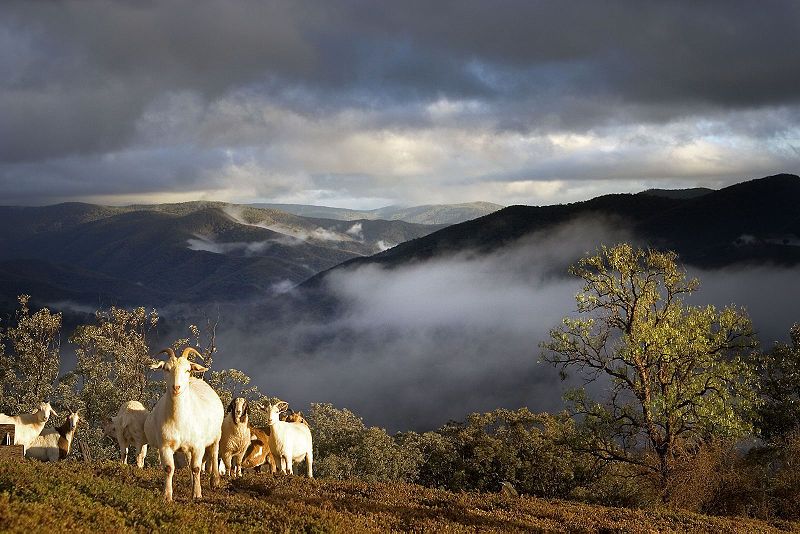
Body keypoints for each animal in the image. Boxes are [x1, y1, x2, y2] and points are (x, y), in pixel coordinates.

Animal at [144, 348, 223, 502]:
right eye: (166, 369)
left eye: (187, 370)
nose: (176, 387)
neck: (178, 420)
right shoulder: (165, 446)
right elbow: (169, 468)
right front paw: (167, 495)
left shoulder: (198, 445)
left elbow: (197, 468)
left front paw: (197, 494)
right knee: (189, 461)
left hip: (216, 434)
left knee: (214, 452)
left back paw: (214, 481)